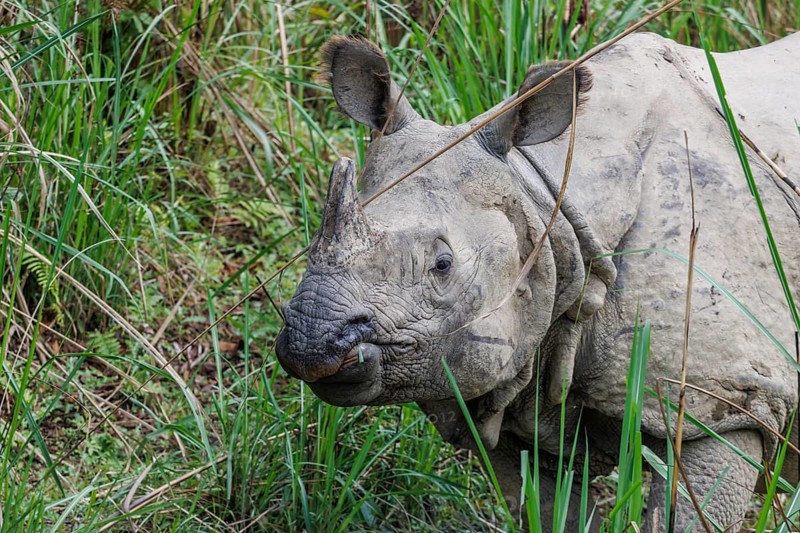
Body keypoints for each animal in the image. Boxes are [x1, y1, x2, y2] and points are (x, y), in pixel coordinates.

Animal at [275, 31, 800, 531]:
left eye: (442, 265)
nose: (311, 343)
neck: (548, 203)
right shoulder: (506, 389)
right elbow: (548, 509)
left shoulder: (729, 395)